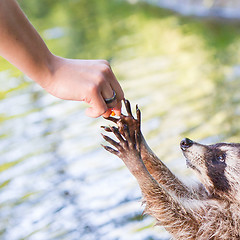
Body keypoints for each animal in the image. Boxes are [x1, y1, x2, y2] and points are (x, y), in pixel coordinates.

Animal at [102, 99, 240, 238]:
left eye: (220, 157)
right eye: (217, 145)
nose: (186, 142)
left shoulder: (225, 224)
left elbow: (177, 217)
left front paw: (137, 166)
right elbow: (181, 190)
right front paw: (138, 140)